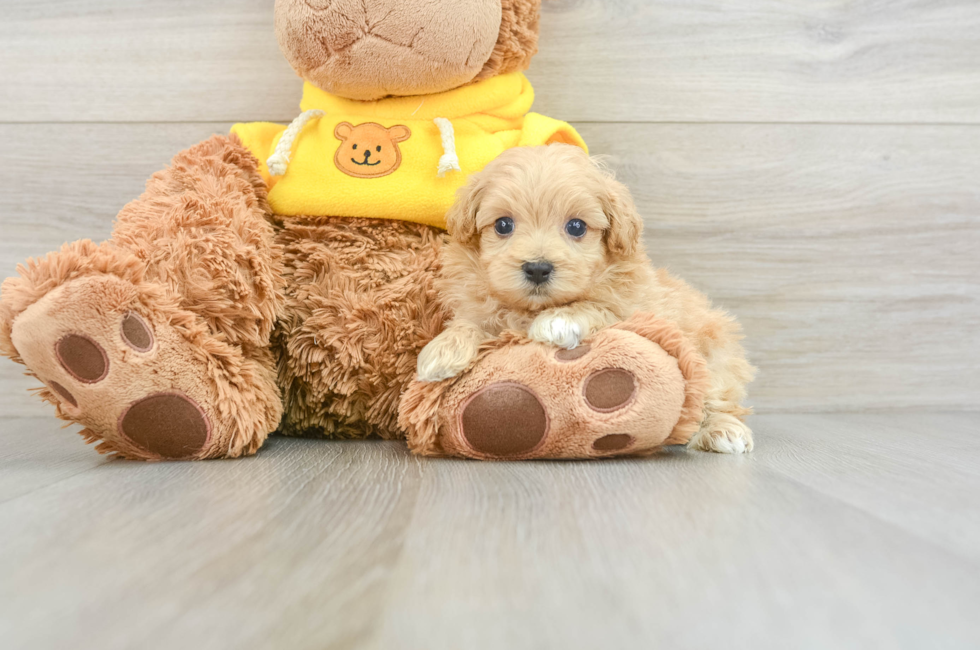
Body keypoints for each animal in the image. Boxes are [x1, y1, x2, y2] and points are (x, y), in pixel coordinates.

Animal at [418, 144, 756, 454]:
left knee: (715, 399)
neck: (533, 308)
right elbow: (469, 323)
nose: (537, 268)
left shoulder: (635, 310)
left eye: (576, 226)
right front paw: (441, 351)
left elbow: (598, 306)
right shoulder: (479, 307)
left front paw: (558, 321)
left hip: (715, 359)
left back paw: (724, 431)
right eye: (503, 225)